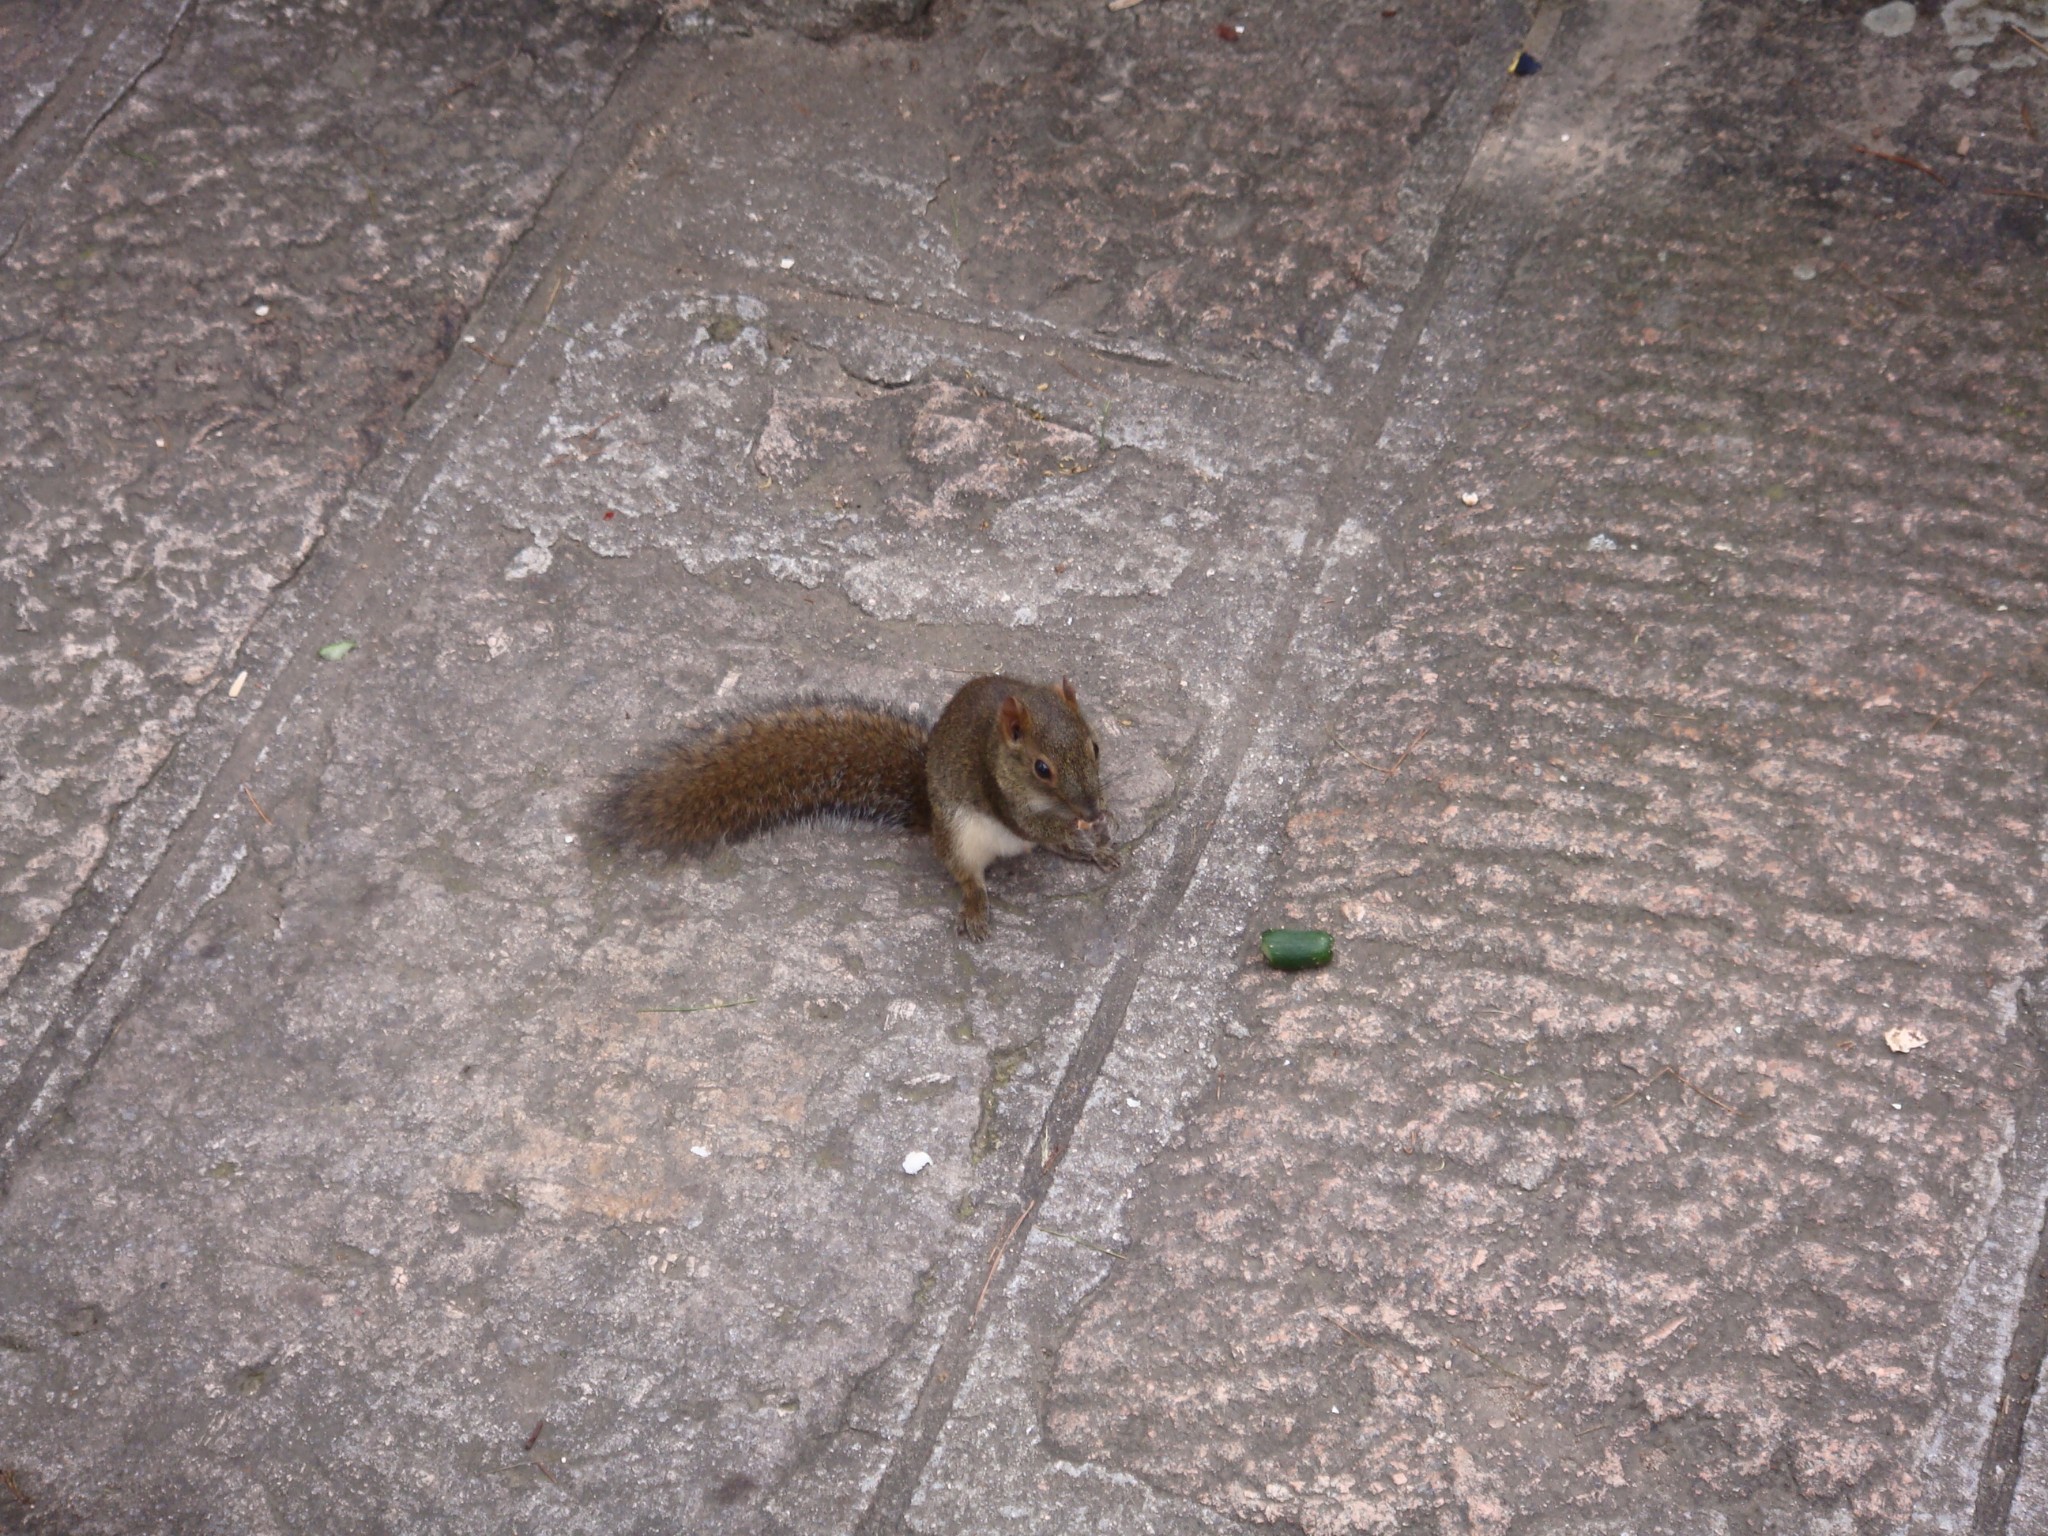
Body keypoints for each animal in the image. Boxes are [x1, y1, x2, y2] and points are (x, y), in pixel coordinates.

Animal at [598, 679, 1122, 946]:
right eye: (1041, 768)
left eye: (1095, 746)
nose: (1091, 806)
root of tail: (928, 811)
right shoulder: (997, 794)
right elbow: (1029, 821)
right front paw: (1084, 823)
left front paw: (1098, 826)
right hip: (958, 833)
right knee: (967, 874)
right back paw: (976, 906)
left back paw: (1088, 851)